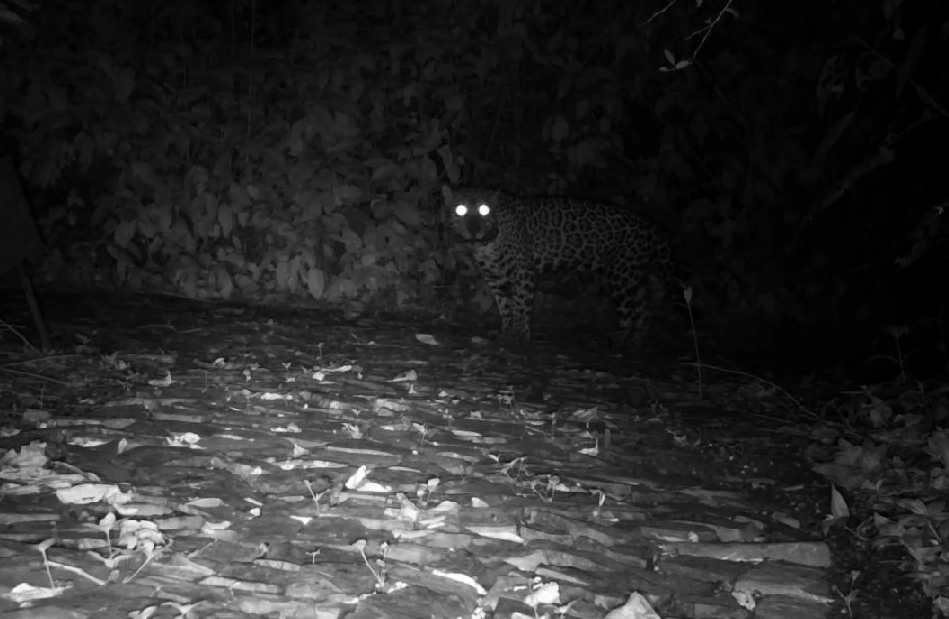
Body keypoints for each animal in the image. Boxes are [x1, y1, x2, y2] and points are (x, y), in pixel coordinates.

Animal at [446, 186, 685, 350]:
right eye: (460, 209)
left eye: (484, 210)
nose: (473, 228)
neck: (484, 244)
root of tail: (653, 226)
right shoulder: (495, 277)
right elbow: (505, 306)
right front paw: (506, 331)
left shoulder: (524, 272)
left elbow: (521, 305)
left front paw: (521, 336)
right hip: (634, 275)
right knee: (645, 310)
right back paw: (636, 343)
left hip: (622, 277)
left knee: (629, 313)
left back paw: (617, 342)